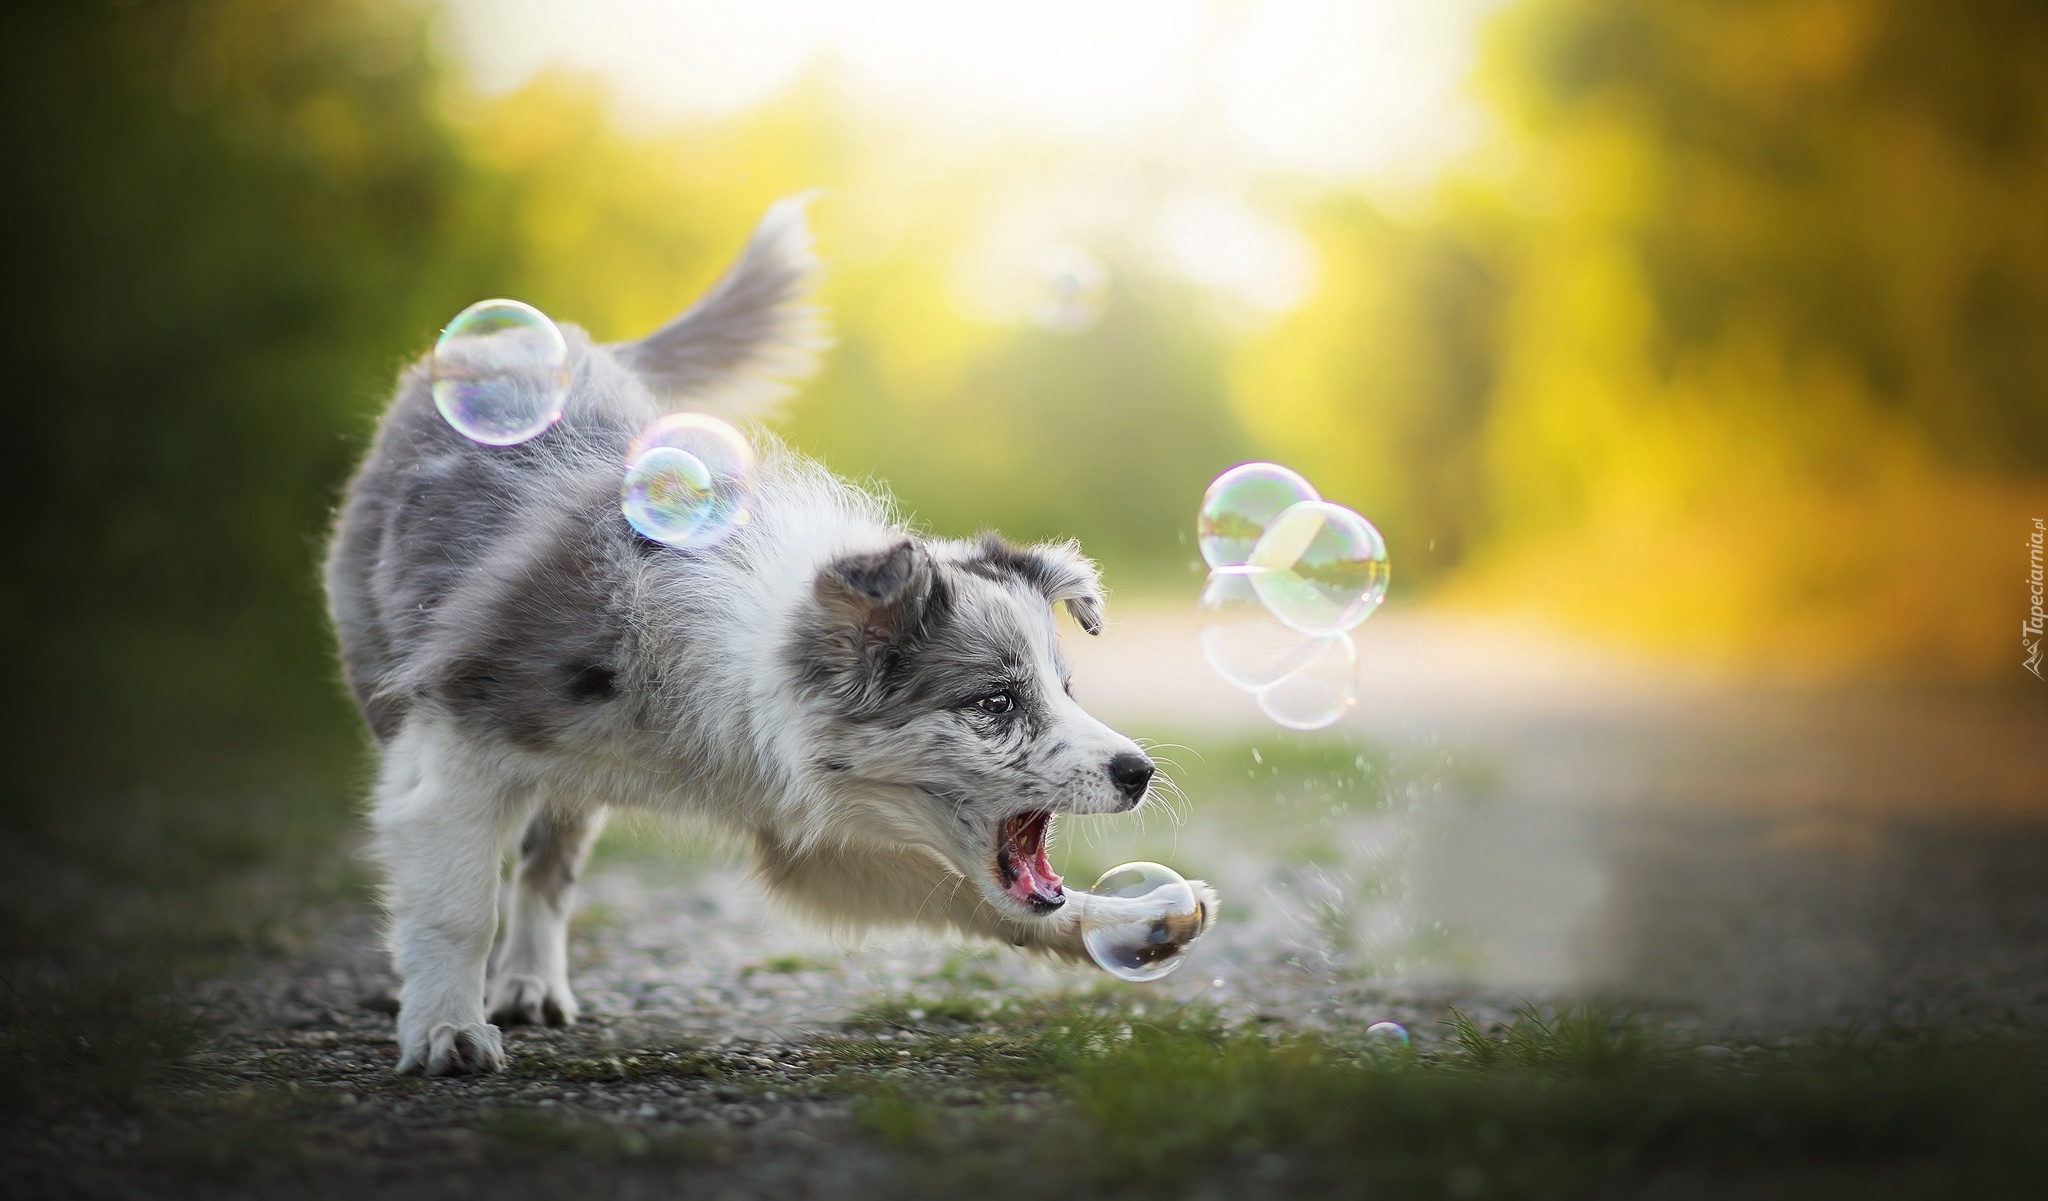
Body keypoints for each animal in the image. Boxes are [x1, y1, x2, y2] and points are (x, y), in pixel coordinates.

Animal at [325, 198, 1204, 1073]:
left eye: (1065, 689)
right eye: (995, 701)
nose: (1140, 772)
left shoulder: (808, 825)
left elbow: (967, 892)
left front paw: (1135, 920)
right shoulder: (458, 743)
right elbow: (457, 903)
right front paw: (446, 1029)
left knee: (552, 865)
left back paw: (533, 984)